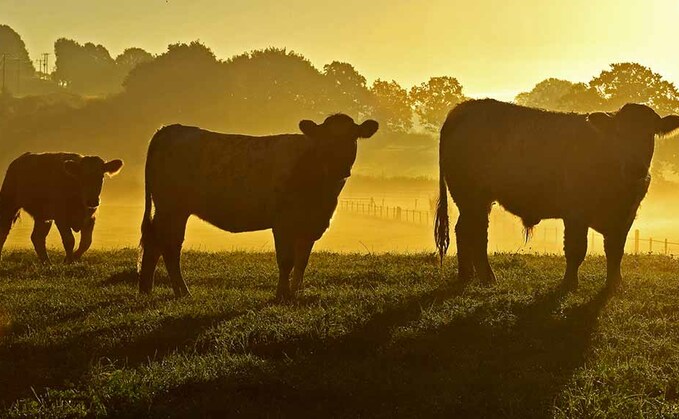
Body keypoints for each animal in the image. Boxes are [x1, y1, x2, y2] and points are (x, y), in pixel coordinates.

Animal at [139, 113, 380, 300]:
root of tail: (169, 129)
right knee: (170, 246)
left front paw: (295, 293)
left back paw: (146, 289)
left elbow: (302, 261)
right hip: (172, 208)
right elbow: (286, 261)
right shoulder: (283, 223)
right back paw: (183, 292)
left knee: (154, 243)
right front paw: (282, 295)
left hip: (168, 210)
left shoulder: (311, 223)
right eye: (324, 139)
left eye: (353, 137)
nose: (340, 168)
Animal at [436, 99, 679, 292]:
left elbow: (615, 250)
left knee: (463, 230)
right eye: (618, 133)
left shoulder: (626, 216)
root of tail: (464, 108)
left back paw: (466, 275)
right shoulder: (575, 214)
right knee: (476, 234)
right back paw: (487, 278)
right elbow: (576, 249)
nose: (635, 167)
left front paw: (614, 284)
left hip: (471, 201)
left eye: (650, 133)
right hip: (473, 197)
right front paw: (569, 284)